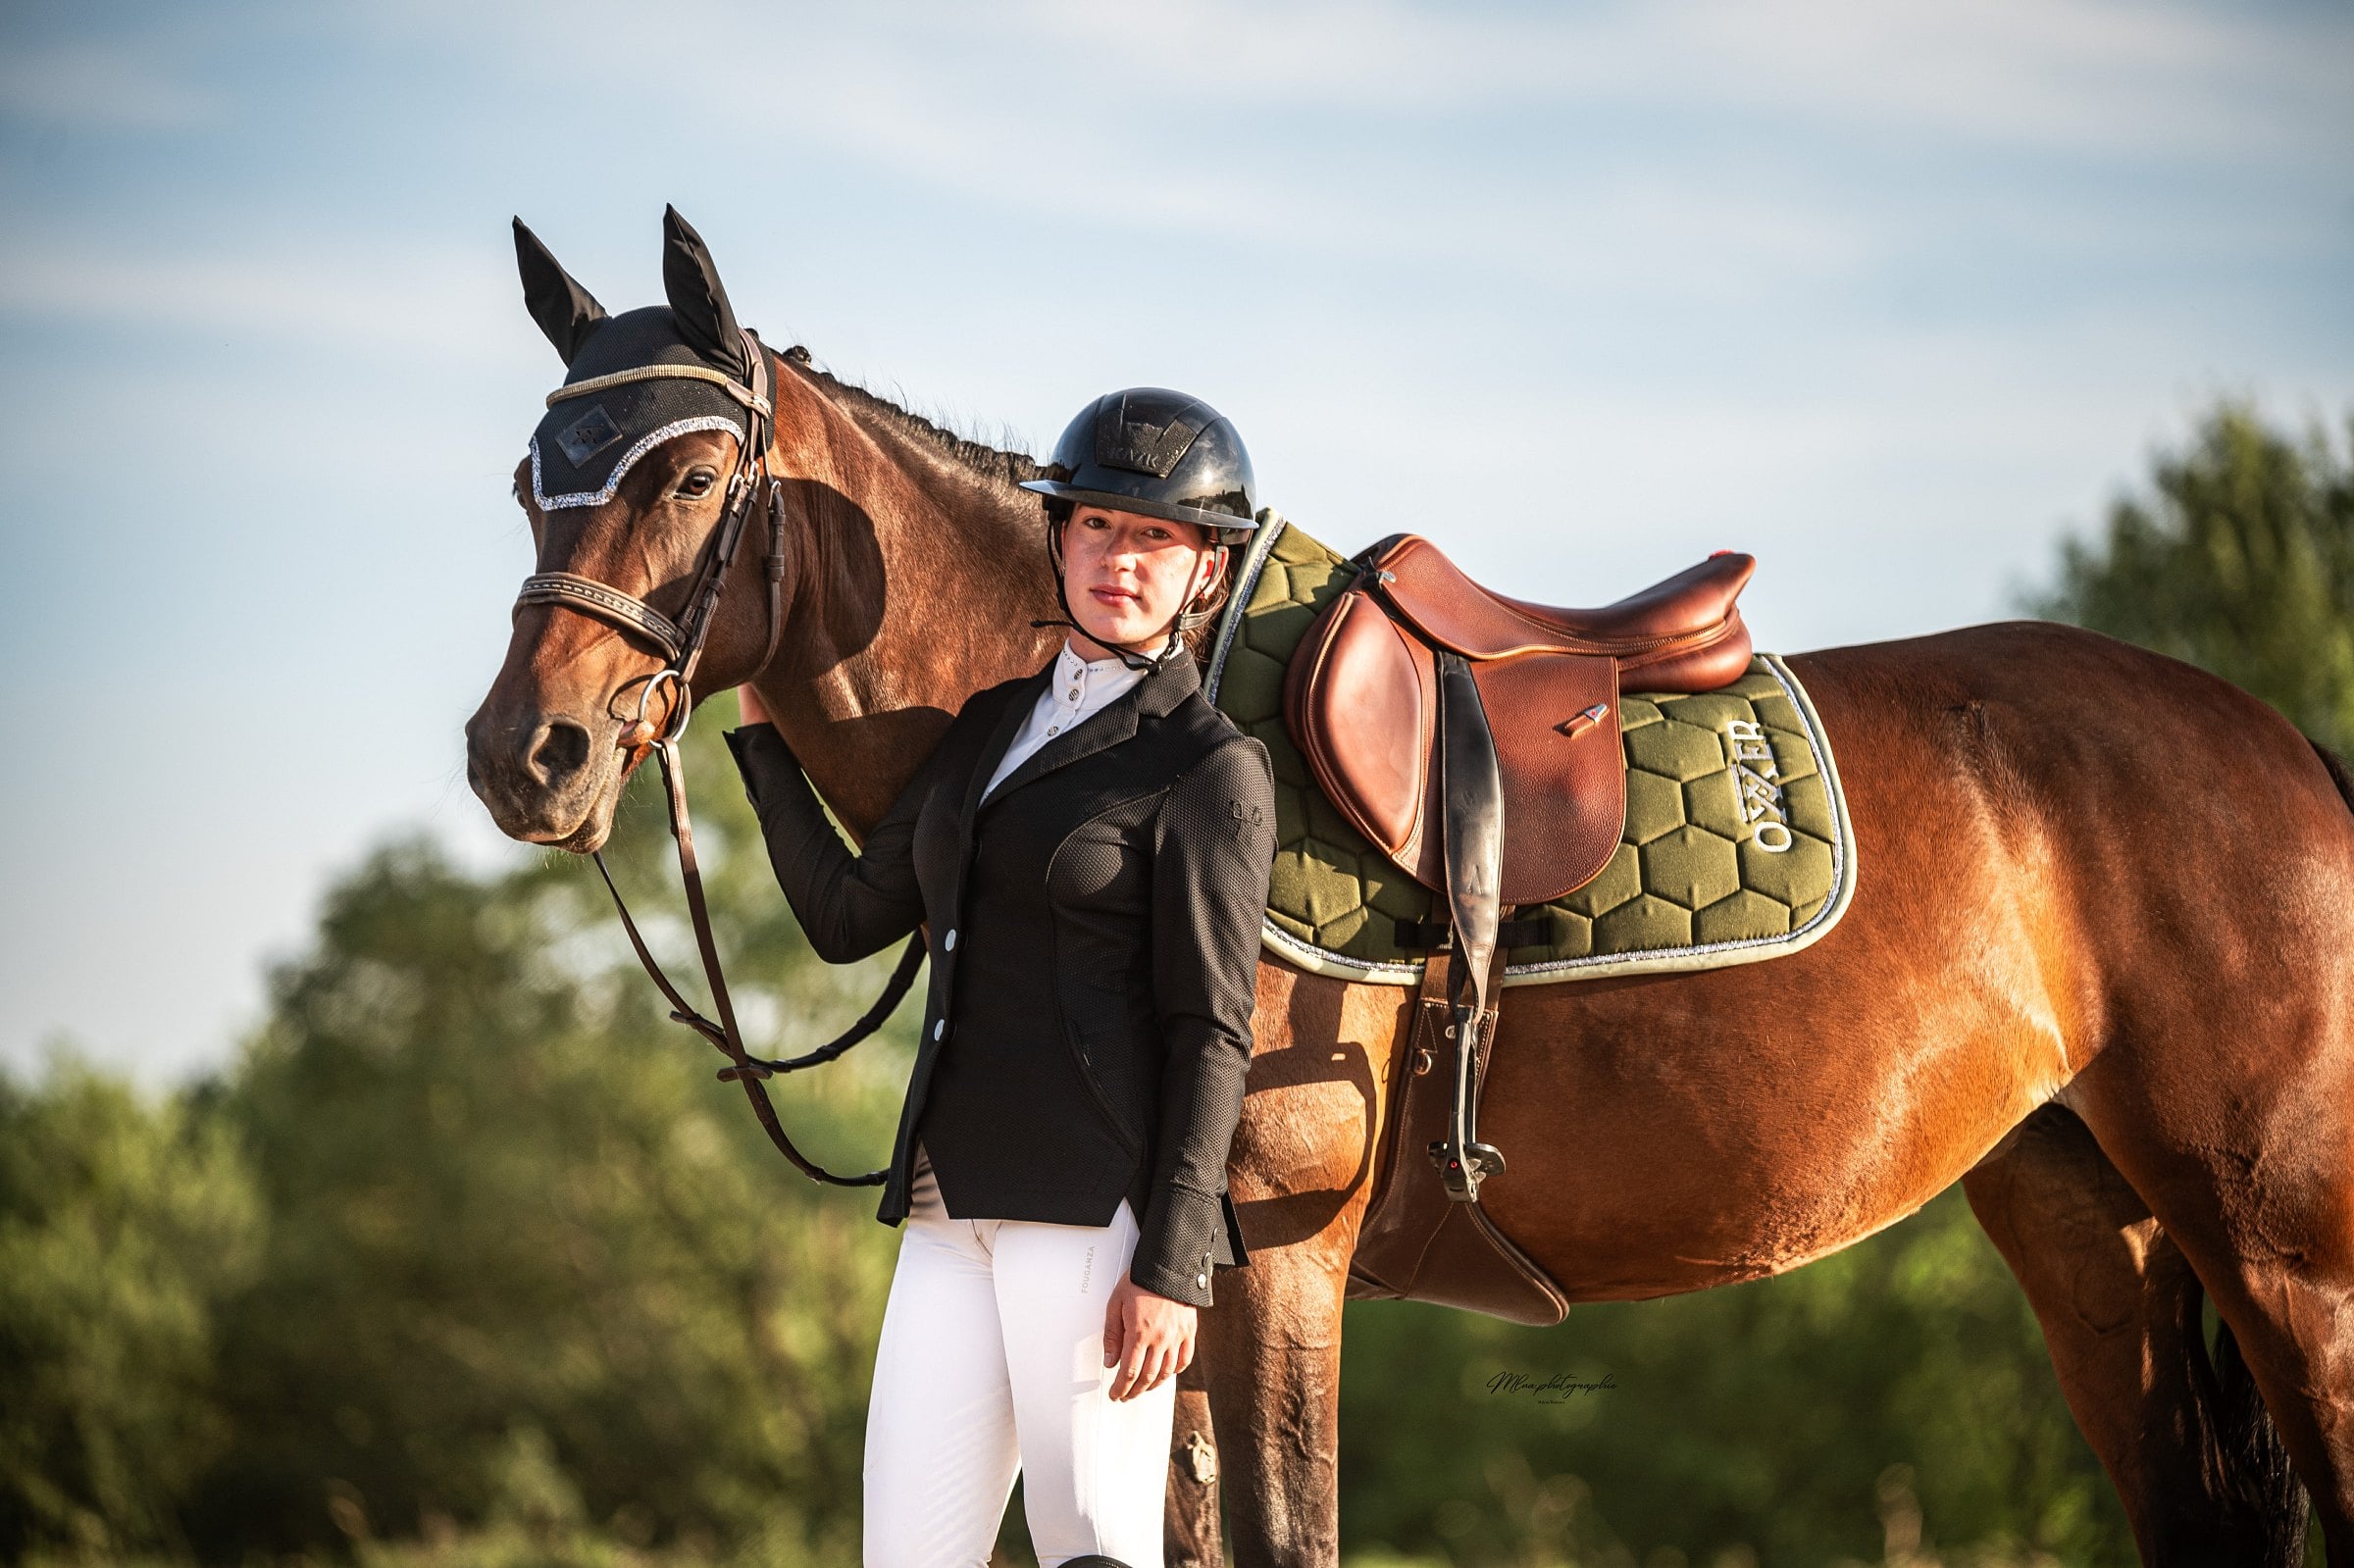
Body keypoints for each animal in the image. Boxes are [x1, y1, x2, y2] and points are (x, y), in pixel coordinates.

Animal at [465, 211, 2354, 1567]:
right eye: (529, 480)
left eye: (688, 475)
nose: (522, 754)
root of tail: (2285, 749)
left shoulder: (1272, 1263)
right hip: (2088, 1219)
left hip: (2288, 1259)